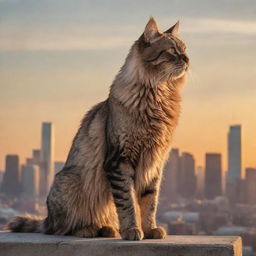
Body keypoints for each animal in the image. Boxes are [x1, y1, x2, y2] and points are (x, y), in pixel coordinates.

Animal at [7, 17, 189, 240]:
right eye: (172, 51)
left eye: (185, 49)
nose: (187, 59)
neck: (159, 95)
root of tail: (47, 218)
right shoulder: (119, 160)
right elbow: (127, 203)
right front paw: (132, 230)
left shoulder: (154, 163)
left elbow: (149, 203)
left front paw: (150, 229)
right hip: (70, 182)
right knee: (62, 228)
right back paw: (89, 229)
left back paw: (107, 229)